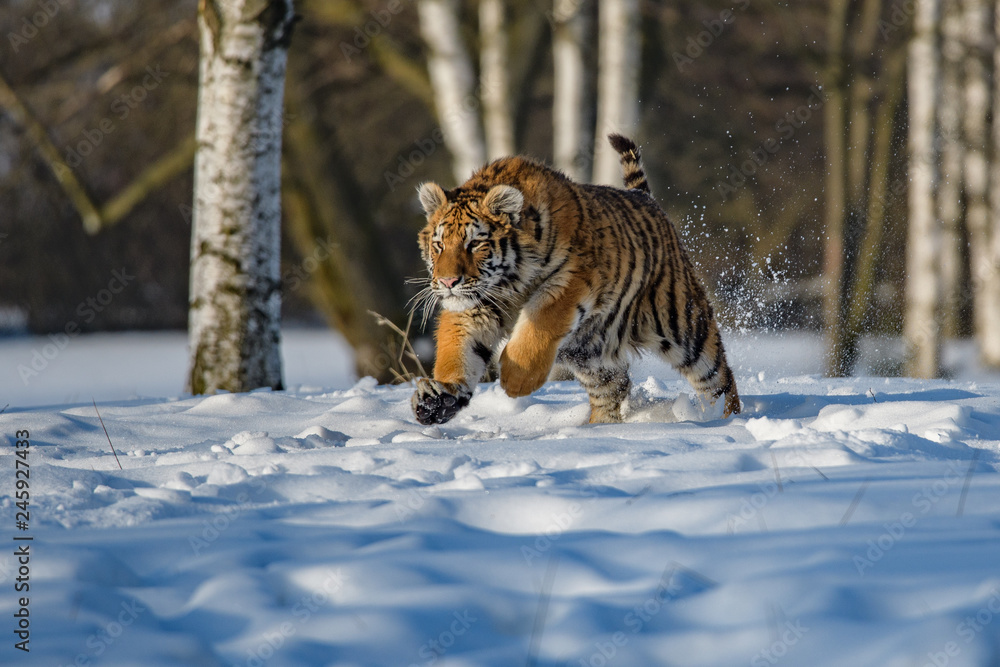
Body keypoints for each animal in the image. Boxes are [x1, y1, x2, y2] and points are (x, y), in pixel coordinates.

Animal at [410, 134, 740, 425]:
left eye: (474, 244)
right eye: (439, 245)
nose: (448, 282)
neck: (509, 282)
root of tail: (645, 197)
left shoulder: (572, 278)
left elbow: (541, 322)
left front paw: (517, 381)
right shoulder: (474, 307)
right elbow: (457, 352)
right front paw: (439, 397)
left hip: (682, 325)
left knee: (719, 380)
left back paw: (727, 421)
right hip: (592, 353)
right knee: (613, 388)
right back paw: (598, 429)